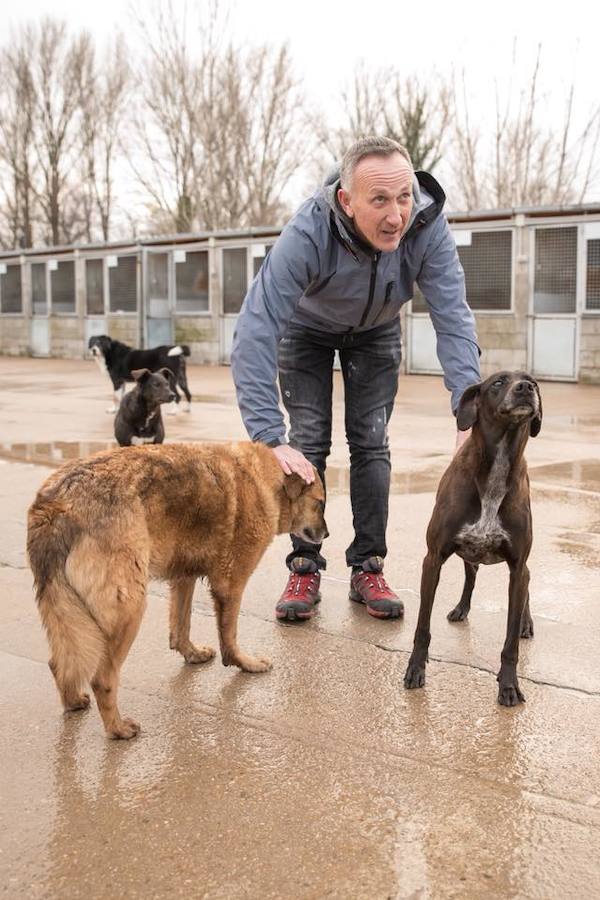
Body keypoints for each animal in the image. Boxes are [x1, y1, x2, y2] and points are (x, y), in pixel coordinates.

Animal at [27, 442, 328, 740]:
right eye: (320, 504)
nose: (325, 535)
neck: (266, 479)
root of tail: (55, 504)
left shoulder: (184, 578)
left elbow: (181, 626)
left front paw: (192, 654)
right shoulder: (231, 585)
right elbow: (230, 635)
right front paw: (244, 663)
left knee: (59, 663)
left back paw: (73, 701)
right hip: (129, 608)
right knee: (102, 678)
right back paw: (118, 728)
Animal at [406, 370, 540, 708]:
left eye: (533, 381)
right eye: (498, 382)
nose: (525, 388)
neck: (497, 466)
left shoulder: (517, 566)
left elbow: (510, 642)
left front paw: (509, 685)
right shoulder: (433, 559)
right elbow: (422, 627)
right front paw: (415, 669)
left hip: (517, 567)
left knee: (528, 584)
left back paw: (526, 622)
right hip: (469, 554)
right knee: (471, 578)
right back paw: (461, 609)